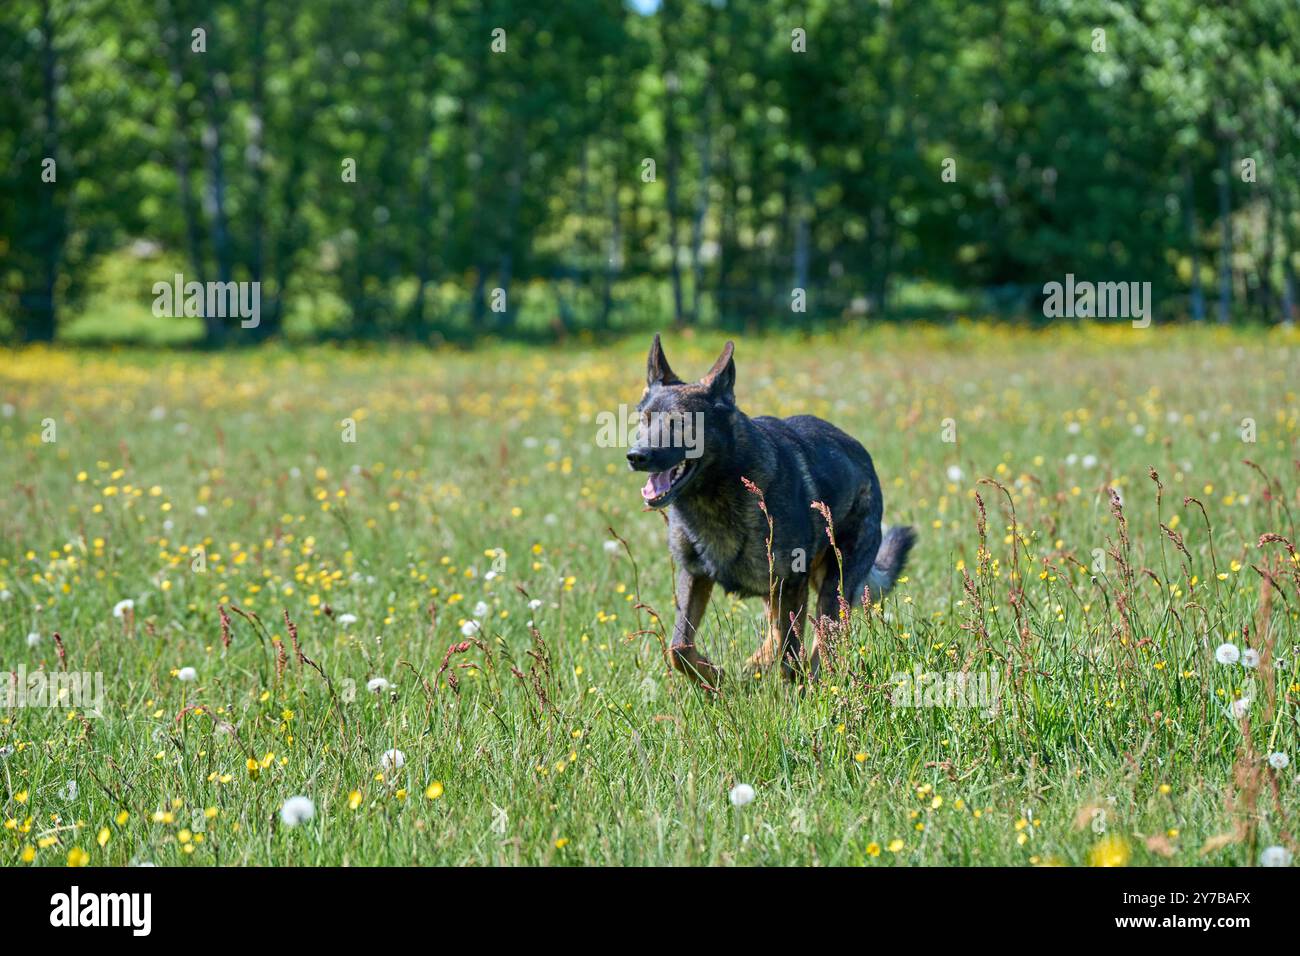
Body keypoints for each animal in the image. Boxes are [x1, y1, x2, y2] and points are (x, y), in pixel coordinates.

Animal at [626, 332, 915, 686]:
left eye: (681, 423)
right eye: (644, 420)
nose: (636, 456)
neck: (716, 494)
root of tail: (863, 455)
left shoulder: (790, 583)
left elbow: (791, 657)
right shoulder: (694, 575)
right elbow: (678, 648)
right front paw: (716, 679)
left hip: (833, 585)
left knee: (822, 638)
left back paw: (811, 678)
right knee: (780, 633)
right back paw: (756, 664)